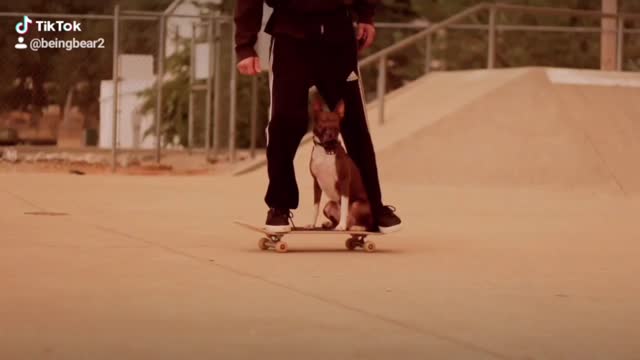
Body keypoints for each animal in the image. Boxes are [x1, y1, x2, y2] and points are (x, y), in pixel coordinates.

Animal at [308, 93, 372, 232]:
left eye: (336, 124)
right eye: (322, 123)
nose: (331, 133)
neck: (326, 150)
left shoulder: (344, 180)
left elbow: (344, 205)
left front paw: (341, 225)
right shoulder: (316, 182)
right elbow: (315, 206)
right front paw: (311, 224)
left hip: (357, 204)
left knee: (366, 224)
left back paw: (354, 226)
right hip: (328, 205)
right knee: (335, 219)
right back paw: (330, 224)